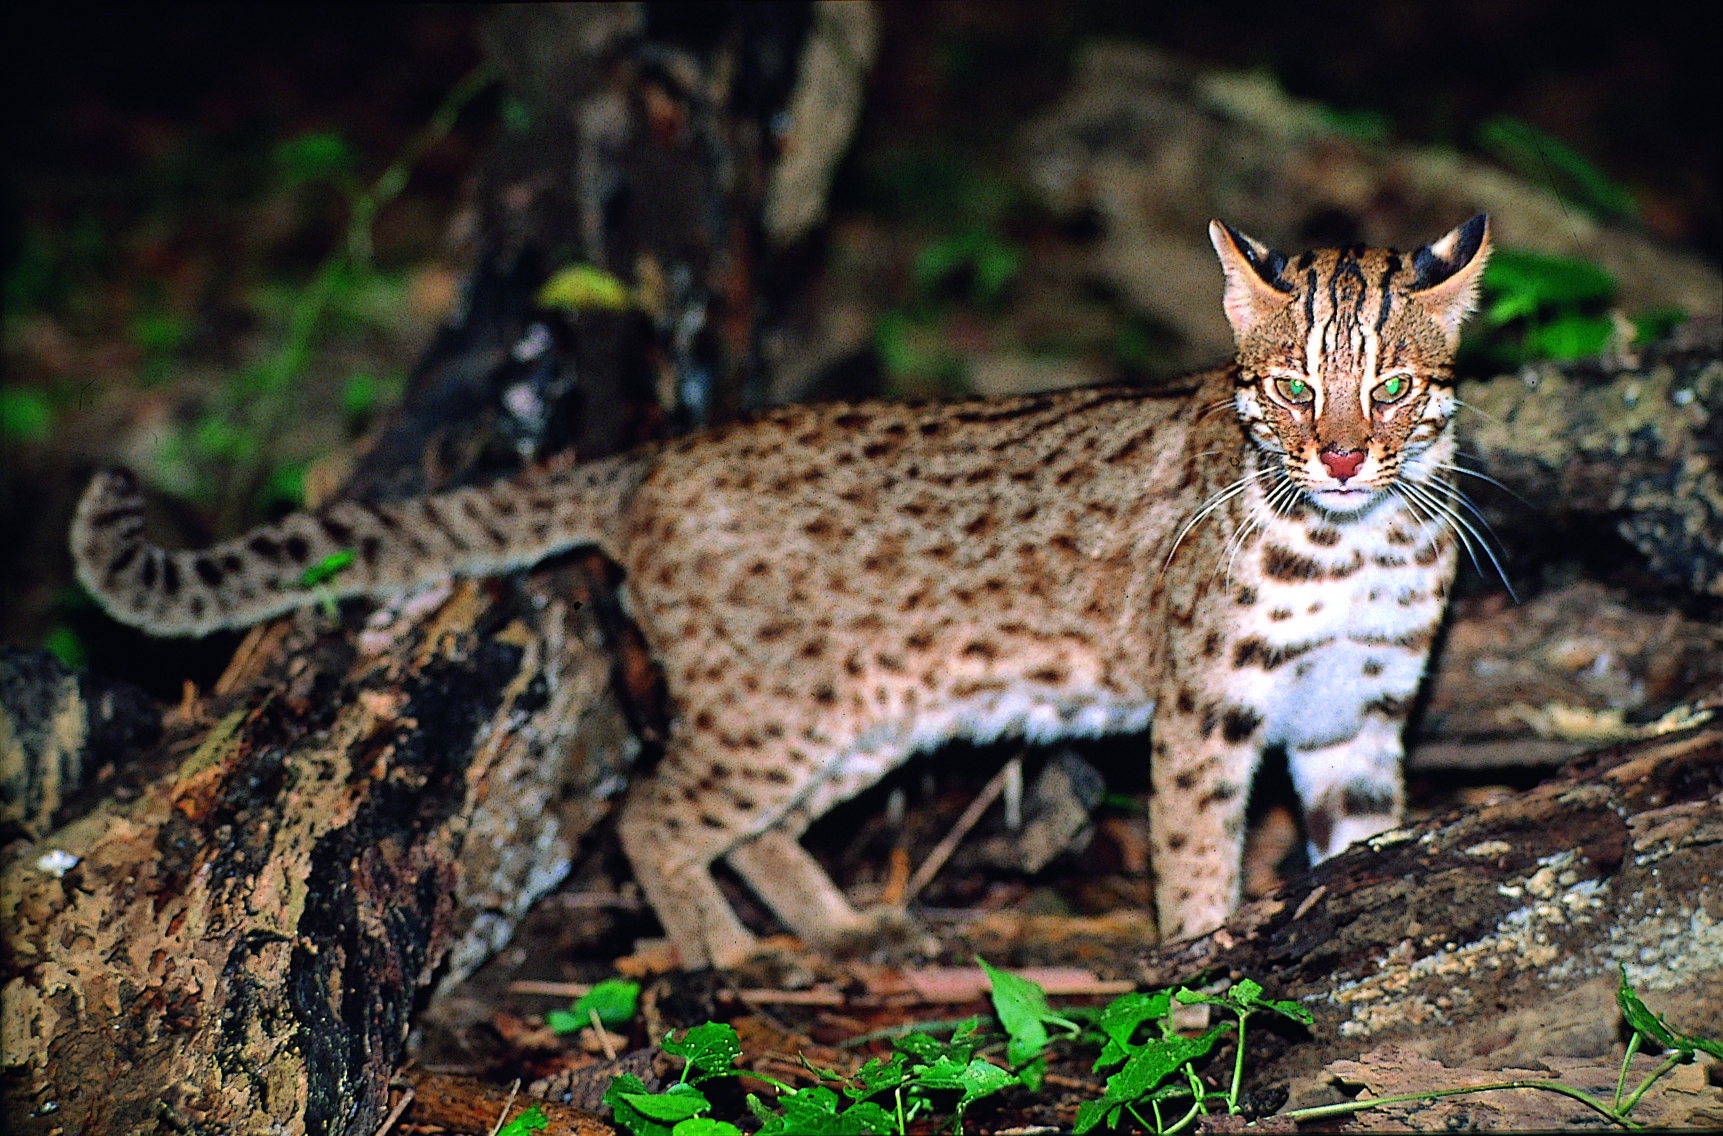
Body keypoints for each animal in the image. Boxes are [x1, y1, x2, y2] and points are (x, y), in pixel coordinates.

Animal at [74, 215, 1488, 972]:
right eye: (1292, 387)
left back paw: (841, 925)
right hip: (773, 711)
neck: (1356, 540)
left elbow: (1362, 840)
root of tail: (659, 455)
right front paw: (1195, 978)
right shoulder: (1207, 709)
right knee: (652, 814)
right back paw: (728, 952)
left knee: (750, 827)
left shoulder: (1359, 711)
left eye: (1391, 387)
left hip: (860, 711)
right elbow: (1194, 857)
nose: (1341, 455)